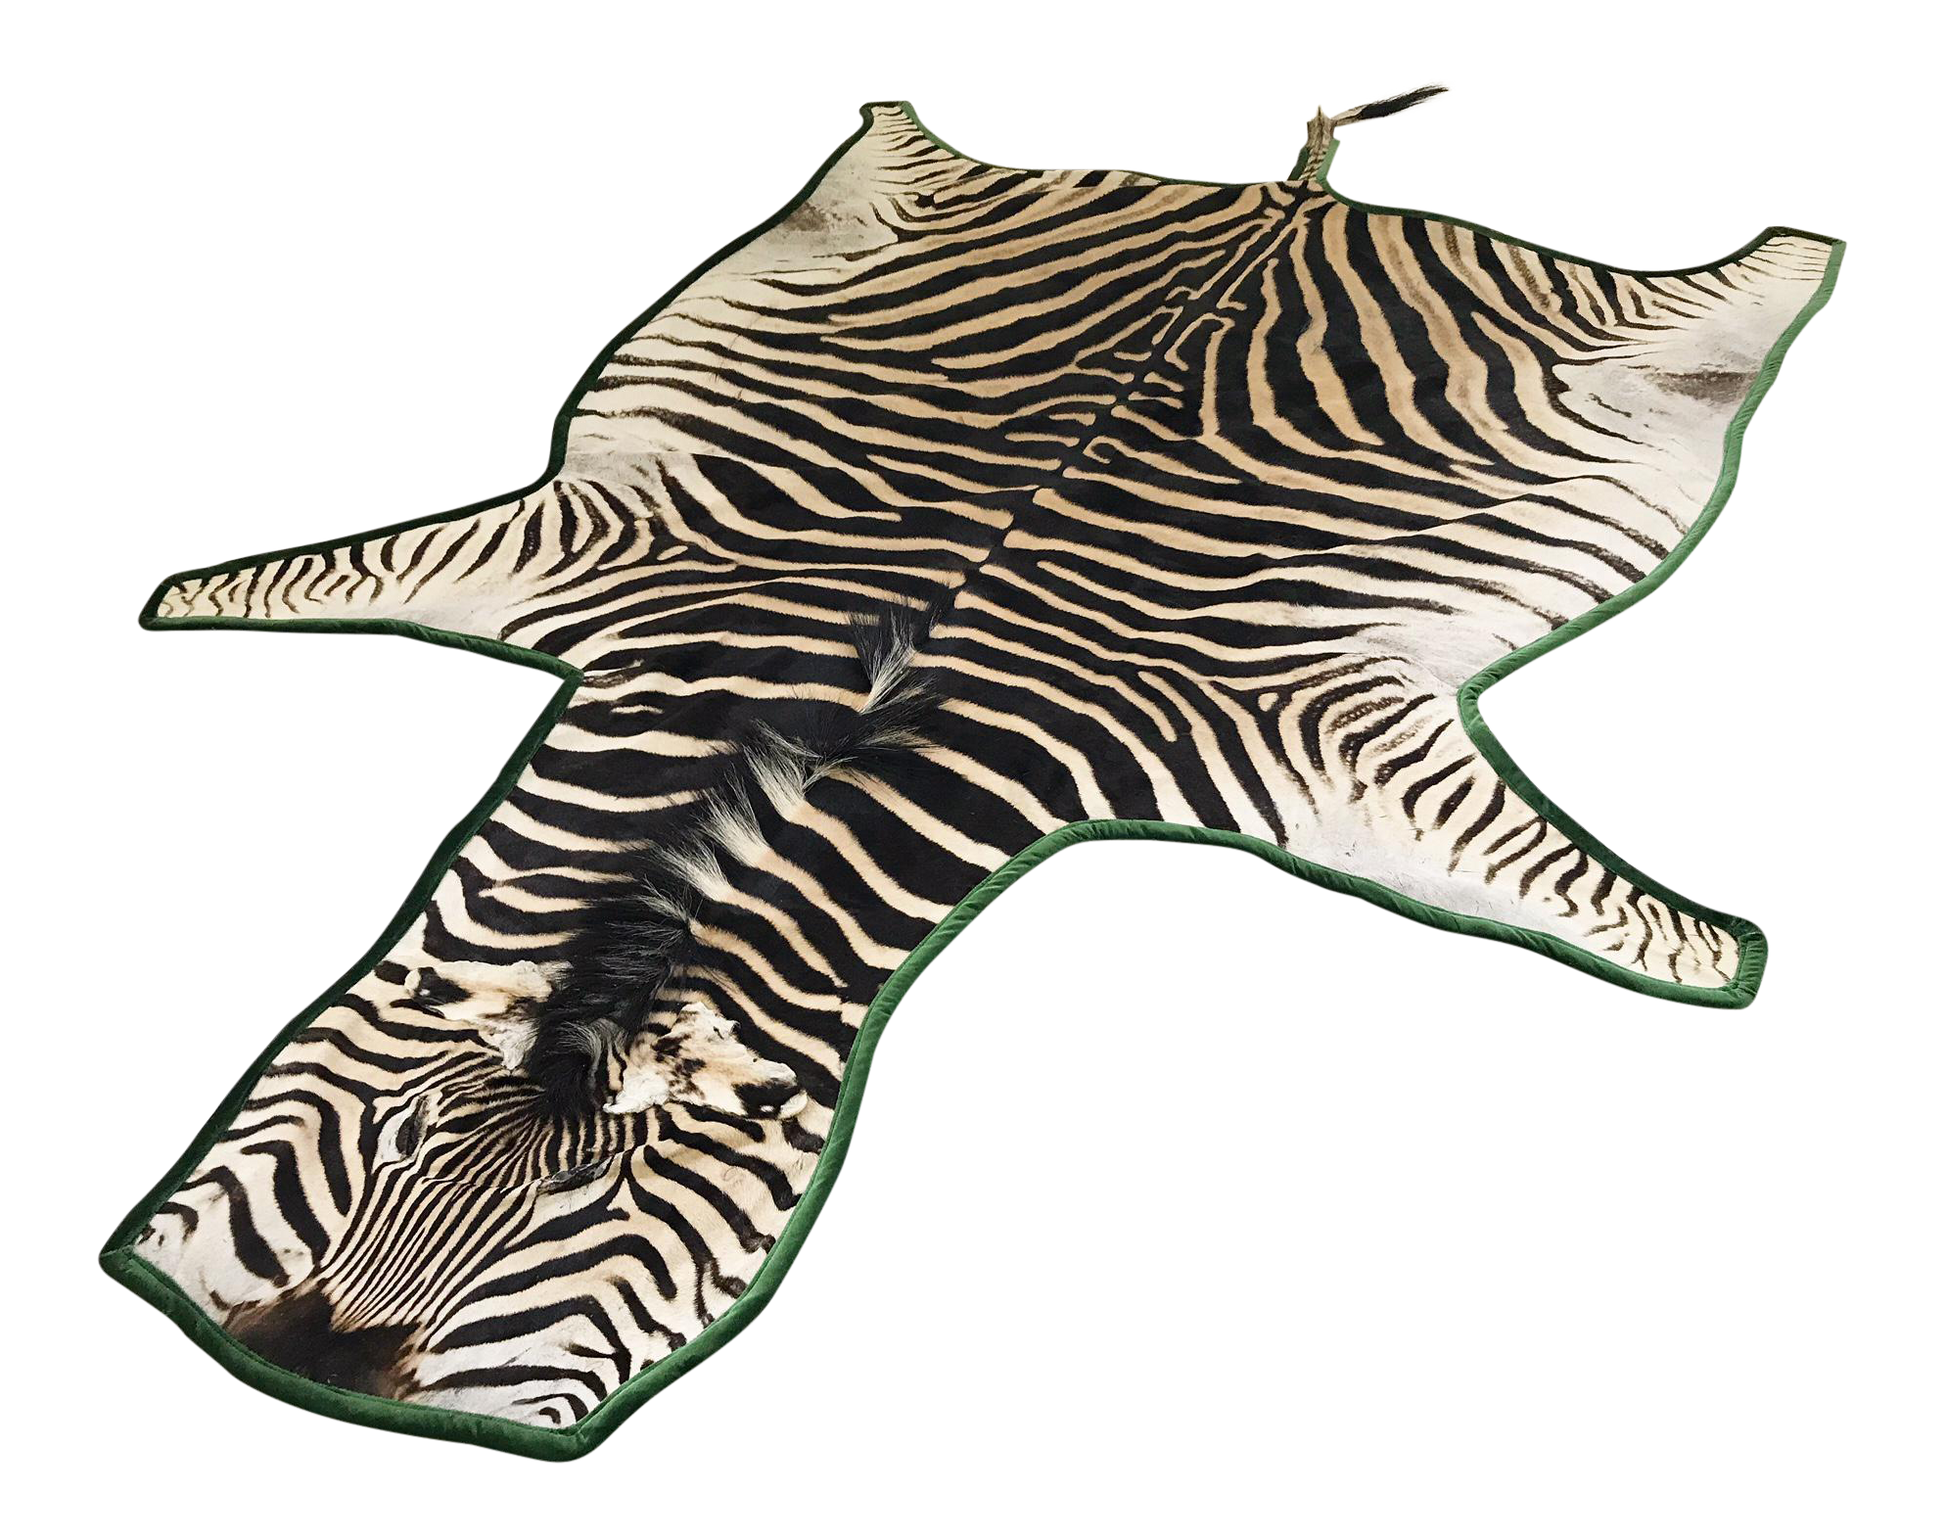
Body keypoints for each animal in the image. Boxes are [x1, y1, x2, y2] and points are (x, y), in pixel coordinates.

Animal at [99, 80, 1847, 1459]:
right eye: (385, 1145)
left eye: (585, 1218)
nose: (301, 1373)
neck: (815, 722)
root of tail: (1292, 195)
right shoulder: (608, 548)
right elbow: (322, 573)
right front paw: (187, 600)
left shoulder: (1292, 738)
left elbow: (1557, 882)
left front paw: (1712, 962)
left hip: (1657, 334)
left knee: (1760, 283)